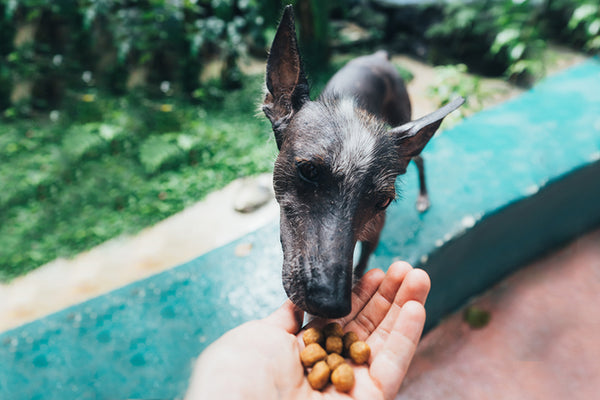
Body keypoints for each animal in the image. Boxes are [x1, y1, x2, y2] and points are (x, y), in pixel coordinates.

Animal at [262, 5, 464, 318]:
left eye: (383, 201)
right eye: (309, 170)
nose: (331, 304)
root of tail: (379, 56)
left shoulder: (374, 232)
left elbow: (362, 264)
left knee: (419, 160)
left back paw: (423, 197)